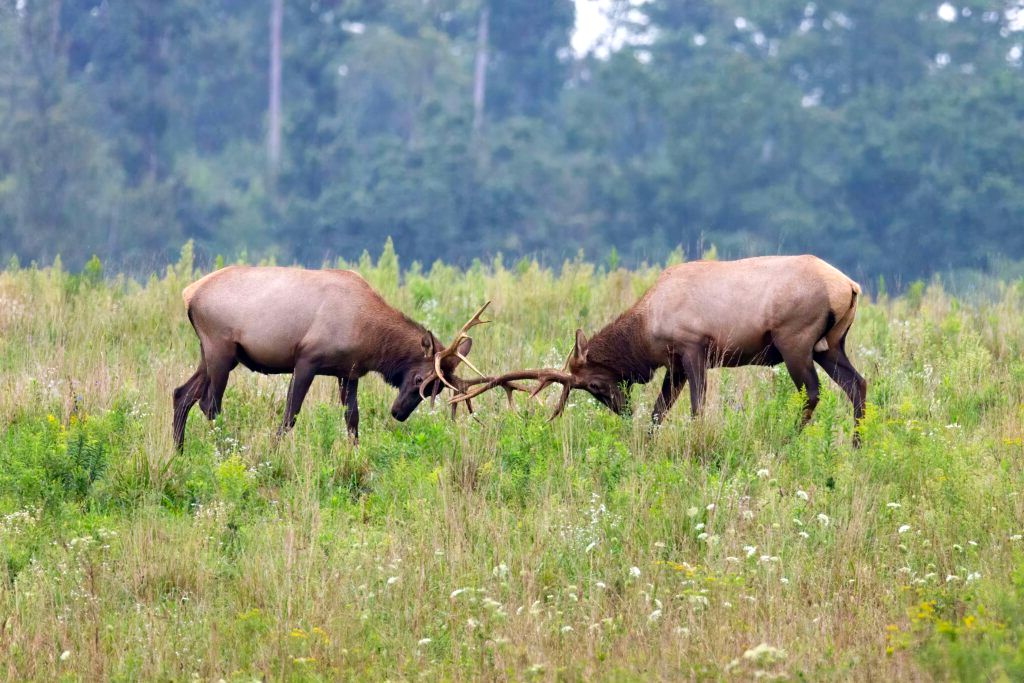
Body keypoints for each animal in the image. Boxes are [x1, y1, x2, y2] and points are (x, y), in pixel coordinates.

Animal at [171, 266, 487, 448]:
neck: (371, 337)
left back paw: (179, 452)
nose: (398, 413)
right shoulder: (306, 359)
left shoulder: (349, 372)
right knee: (209, 403)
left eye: (439, 387)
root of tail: (188, 294)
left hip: (213, 353)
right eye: (420, 378)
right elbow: (290, 414)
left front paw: (355, 454)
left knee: (182, 393)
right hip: (220, 349)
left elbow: (352, 418)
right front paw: (273, 452)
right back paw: (224, 451)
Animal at [456, 254, 864, 444]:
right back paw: (857, 445)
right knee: (858, 385)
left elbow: (697, 408)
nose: (623, 410)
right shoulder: (675, 363)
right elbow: (659, 411)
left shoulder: (693, 346)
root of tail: (850, 285)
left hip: (795, 340)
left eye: (594, 384)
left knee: (811, 392)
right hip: (830, 345)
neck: (645, 333)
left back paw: (787, 439)